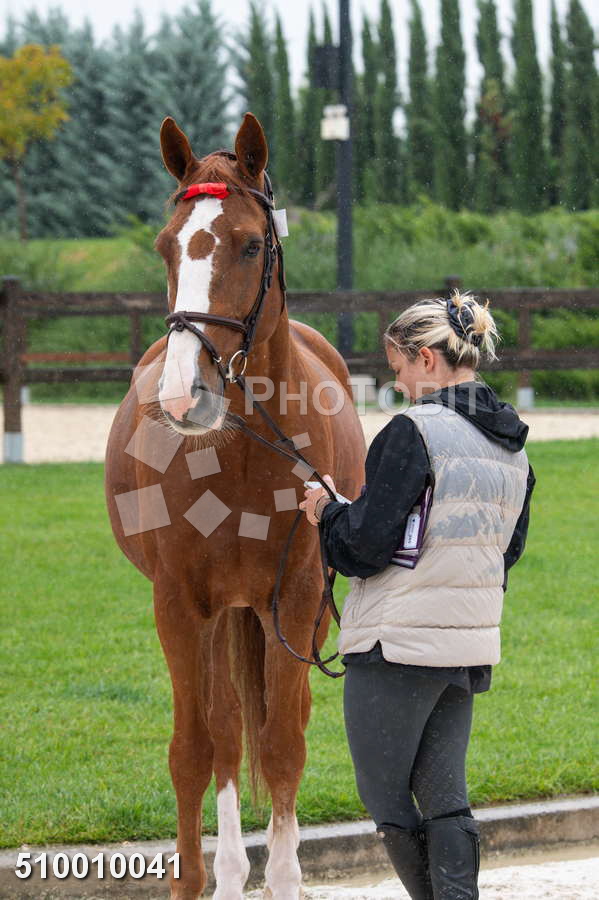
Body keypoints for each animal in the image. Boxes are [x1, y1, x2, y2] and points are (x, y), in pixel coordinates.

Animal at [104, 112, 365, 899]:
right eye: (167, 246)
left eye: (250, 244)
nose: (183, 394)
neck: (245, 451)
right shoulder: (178, 604)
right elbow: (196, 751)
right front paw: (198, 877)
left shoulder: (298, 597)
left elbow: (280, 746)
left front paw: (283, 875)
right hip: (221, 615)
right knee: (221, 733)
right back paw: (225, 870)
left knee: (276, 724)